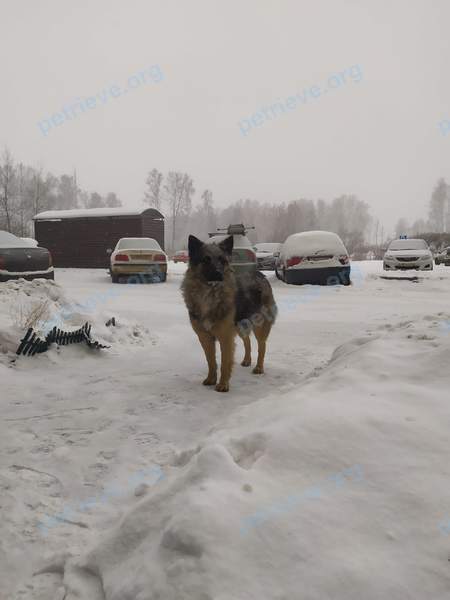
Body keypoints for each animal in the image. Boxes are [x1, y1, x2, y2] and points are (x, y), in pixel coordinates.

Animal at [181, 234, 276, 394]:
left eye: (222, 260)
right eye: (206, 259)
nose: (219, 273)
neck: (210, 293)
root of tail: (259, 274)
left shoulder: (225, 337)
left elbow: (225, 362)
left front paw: (223, 384)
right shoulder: (205, 337)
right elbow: (211, 361)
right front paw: (211, 379)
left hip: (260, 326)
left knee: (262, 345)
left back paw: (258, 367)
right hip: (239, 325)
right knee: (247, 341)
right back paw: (247, 360)